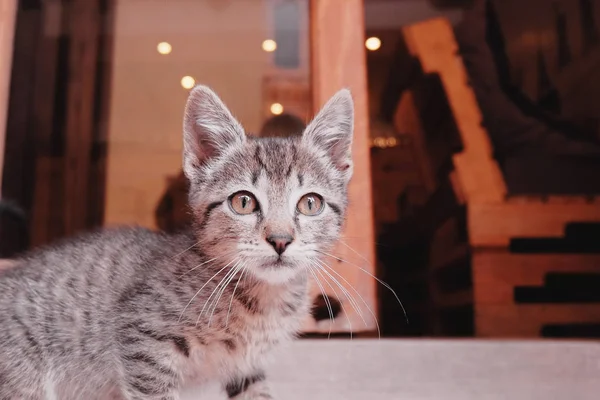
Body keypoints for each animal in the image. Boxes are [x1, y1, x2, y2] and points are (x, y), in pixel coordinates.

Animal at [0, 85, 354, 400]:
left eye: (310, 203)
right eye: (243, 202)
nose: (280, 240)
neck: (264, 297)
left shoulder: (246, 367)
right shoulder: (142, 338)